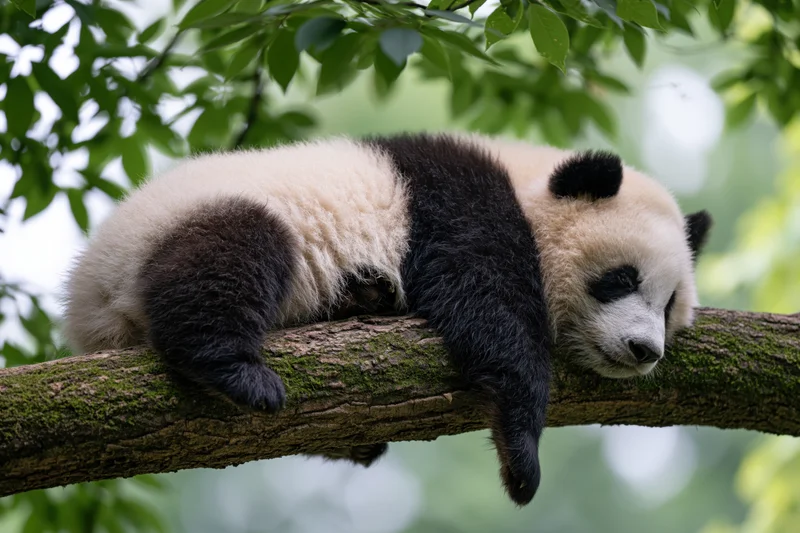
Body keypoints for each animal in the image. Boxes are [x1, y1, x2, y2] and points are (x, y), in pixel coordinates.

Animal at [62, 132, 712, 506]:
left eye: (668, 304)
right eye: (621, 279)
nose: (644, 350)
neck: (526, 181)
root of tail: (87, 305)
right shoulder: (459, 206)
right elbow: (489, 311)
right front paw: (522, 457)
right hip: (191, 225)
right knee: (227, 258)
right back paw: (237, 371)